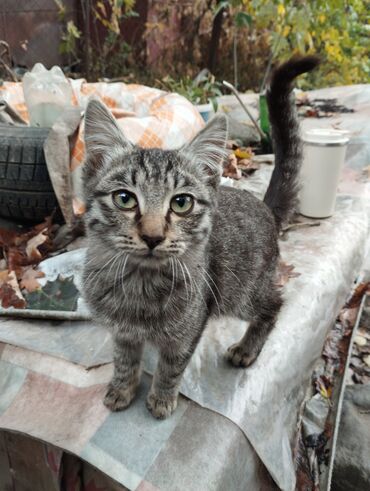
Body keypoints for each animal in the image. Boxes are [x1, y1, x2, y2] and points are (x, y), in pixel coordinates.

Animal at [83, 56, 318, 418]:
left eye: (181, 203)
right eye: (124, 199)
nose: (152, 236)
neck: (139, 284)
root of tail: (263, 206)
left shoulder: (189, 328)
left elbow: (171, 366)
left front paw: (161, 399)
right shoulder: (121, 332)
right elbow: (123, 360)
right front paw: (122, 389)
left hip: (242, 292)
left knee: (274, 303)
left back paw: (248, 348)